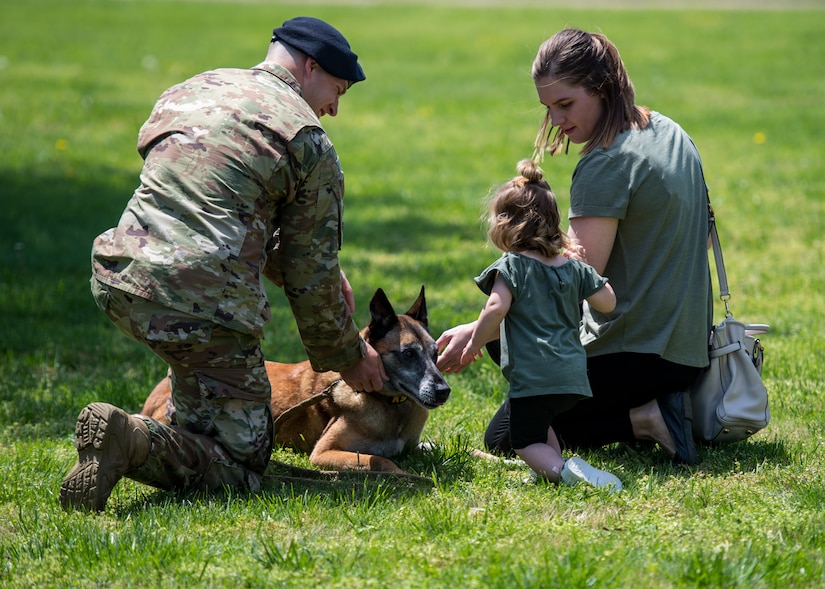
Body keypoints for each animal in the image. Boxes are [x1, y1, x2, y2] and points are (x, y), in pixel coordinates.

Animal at [142, 288, 450, 476]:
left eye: (436, 353)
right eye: (408, 354)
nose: (444, 391)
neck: (390, 405)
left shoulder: (416, 444)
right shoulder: (324, 453)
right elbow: (383, 461)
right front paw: (404, 475)